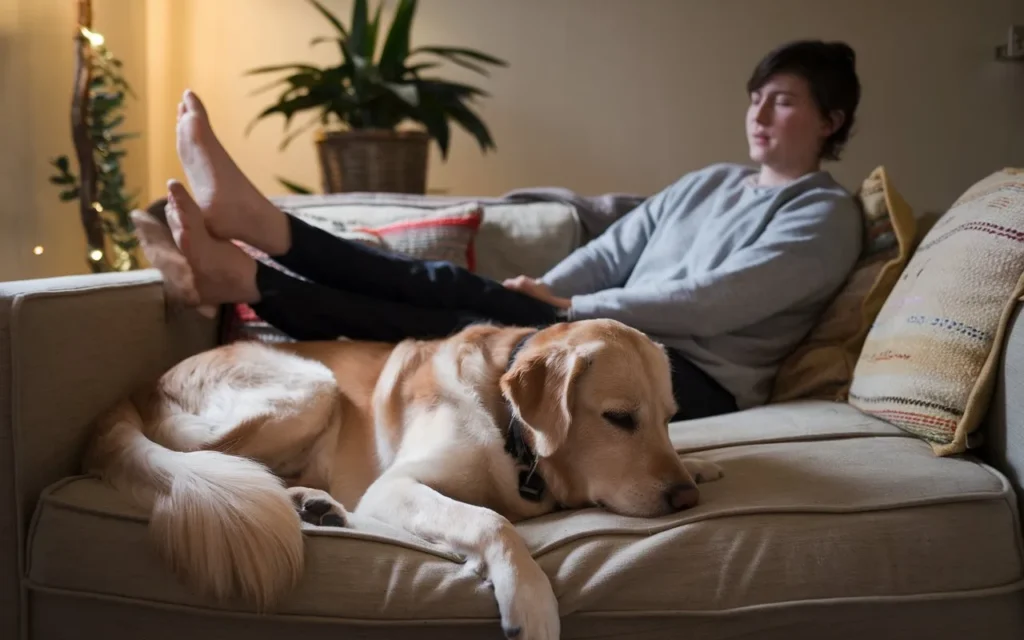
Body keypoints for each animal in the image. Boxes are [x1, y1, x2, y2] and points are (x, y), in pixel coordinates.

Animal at [81, 317, 720, 634]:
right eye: (619, 419)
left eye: (668, 417)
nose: (683, 498)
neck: (509, 424)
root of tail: (135, 393)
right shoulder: (395, 487)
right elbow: (490, 522)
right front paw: (530, 600)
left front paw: (699, 461)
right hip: (308, 387)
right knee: (223, 462)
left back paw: (316, 504)